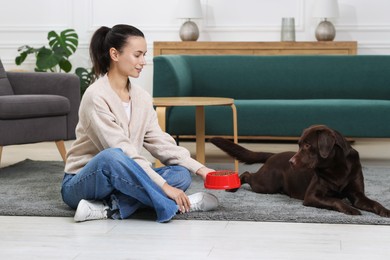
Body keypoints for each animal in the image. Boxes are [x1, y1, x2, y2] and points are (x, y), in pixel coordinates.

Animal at [210, 125, 390, 216]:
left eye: (308, 145)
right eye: (299, 144)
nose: (291, 162)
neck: (336, 167)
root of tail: (274, 155)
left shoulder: (358, 195)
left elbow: (374, 203)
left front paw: (385, 211)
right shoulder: (311, 196)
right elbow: (336, 200)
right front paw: (350, 209)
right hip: (266, 185)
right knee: (248, 175)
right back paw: (233, 187)